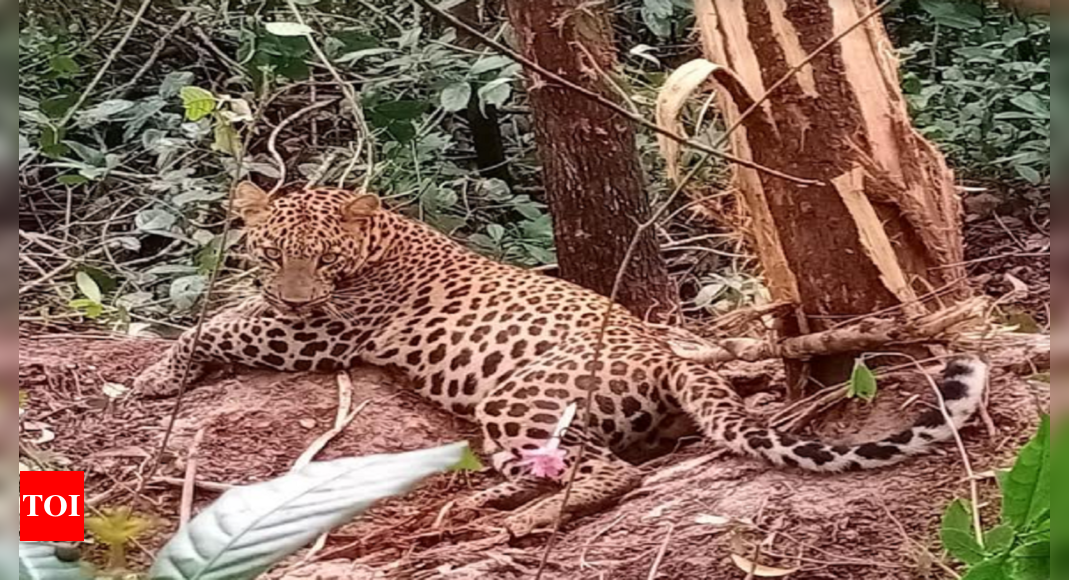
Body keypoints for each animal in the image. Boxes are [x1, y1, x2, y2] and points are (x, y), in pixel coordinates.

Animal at [137, 183, 987, 538]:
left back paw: (517, 515)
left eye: (323, 259)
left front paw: (159, 374)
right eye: (271, 252)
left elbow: (218, 328)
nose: (292, 293)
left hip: (519, 396)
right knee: (569, 462)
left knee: (608, 473)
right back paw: (481, 502)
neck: (379, 239)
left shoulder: (323, 333)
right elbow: (227, 314)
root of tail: (666, 352)